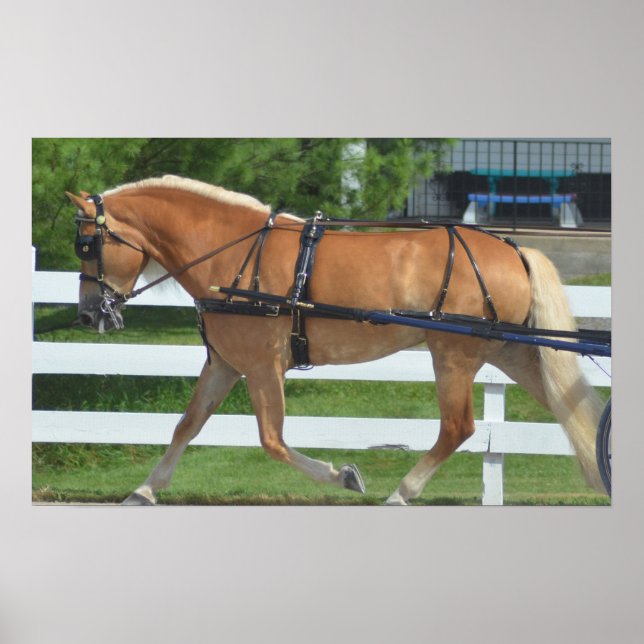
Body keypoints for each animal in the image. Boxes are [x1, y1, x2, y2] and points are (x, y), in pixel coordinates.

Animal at [65, 174, 606, 505]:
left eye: (88, 244)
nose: (90, 313)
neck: (233, 254)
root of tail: (513, 249)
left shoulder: (262, 366)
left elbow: (272, 441)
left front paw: (343, 475)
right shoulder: (225, 363)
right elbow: (187, 425)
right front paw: (145, 490)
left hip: (454, 354)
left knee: (458, 428)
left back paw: (401, 493)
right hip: (514, 351)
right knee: (569, 408)